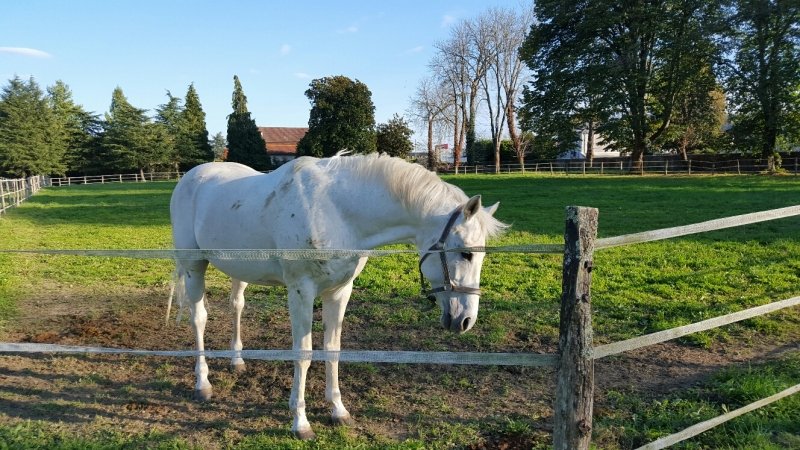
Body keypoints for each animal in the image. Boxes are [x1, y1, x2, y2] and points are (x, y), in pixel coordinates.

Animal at [169, 152, 506, 439]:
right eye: (466, 253)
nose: (465, 320)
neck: (337, 211)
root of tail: (191, 177)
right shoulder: (301, 291)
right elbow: (303, 354)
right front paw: (300, 423)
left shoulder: (340, 292)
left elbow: (333, 350)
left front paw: (338, 411)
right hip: (194, 266)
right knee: (199, 319)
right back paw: (202, 384)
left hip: (238, 269)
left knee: (236, 306)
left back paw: (237, 361)